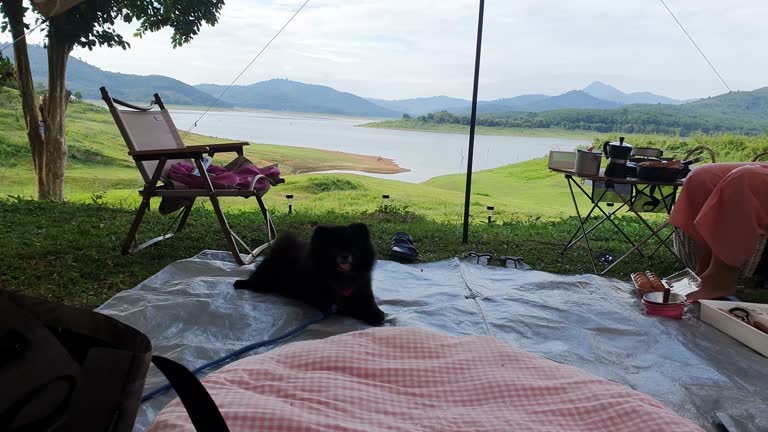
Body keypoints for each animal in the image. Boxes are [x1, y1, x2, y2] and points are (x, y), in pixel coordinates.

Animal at [232, 224, 388, 326]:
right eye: (334, 248)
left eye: (353, 246)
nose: (344, 255)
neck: (342, 277)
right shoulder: (332, 302)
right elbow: (351, 308)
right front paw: (371, 315)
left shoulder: (362, 288)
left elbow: (370, 303)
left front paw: (376, 313)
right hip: (265, 279)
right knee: (255, 281)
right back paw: (241, 283)